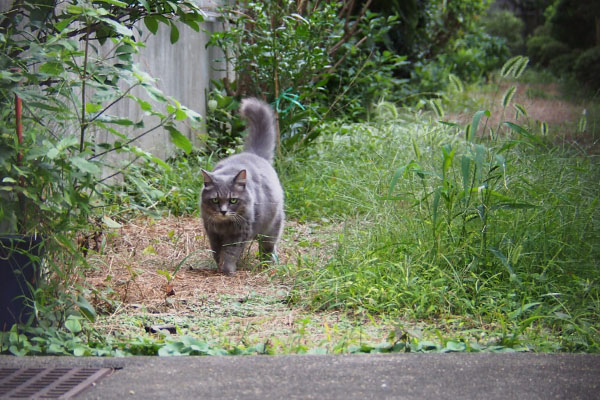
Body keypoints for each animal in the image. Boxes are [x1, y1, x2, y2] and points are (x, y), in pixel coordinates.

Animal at [200, 97, 284, 276]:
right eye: (215, 200)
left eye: (233, 200)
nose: (223, 211)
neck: (224, 225)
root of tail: (253, 154)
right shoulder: (213, 233)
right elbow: (217, 252)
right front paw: (219, 266)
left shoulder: (239, 233)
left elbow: (231, 253)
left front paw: (228, 269)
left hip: (272, 227)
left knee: (268, 247)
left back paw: (267, 265)